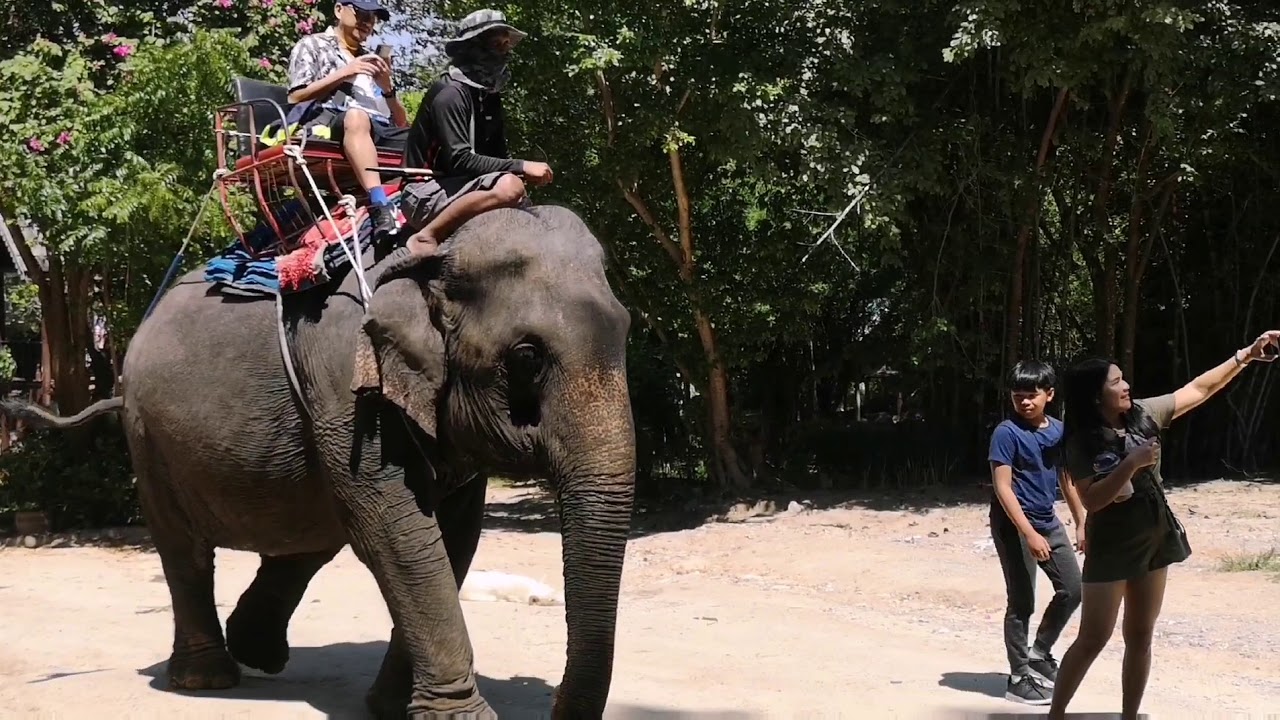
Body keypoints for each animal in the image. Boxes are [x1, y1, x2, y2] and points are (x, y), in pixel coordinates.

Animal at [3, 204, 636, 719]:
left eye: (628, 329)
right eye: (527, 357)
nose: (554, 704)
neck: (434, 254)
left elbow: (453, 537)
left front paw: (390, 708)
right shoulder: (343, 384)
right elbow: (400, 532)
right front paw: (455, 717)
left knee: (309, 533)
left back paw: (256, 651)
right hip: (148, 435)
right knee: (187, 548)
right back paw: (209, 678)